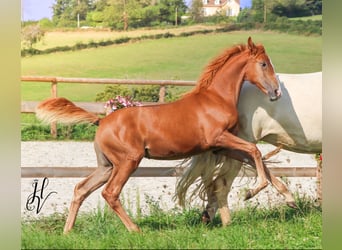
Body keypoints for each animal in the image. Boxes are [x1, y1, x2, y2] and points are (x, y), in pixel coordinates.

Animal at [36, 36, 288, 232]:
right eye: (264, 64)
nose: (276, 92)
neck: (216, 99)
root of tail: (102, 120)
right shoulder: (219, 138)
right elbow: (254, 150)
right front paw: (251, 192)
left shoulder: (220, 147)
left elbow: (256, 157)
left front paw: (288, 197)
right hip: (127, 161)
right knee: (110, 193)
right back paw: (135, 229)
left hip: (106, 166)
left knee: (81, 189)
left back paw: (67, 231)